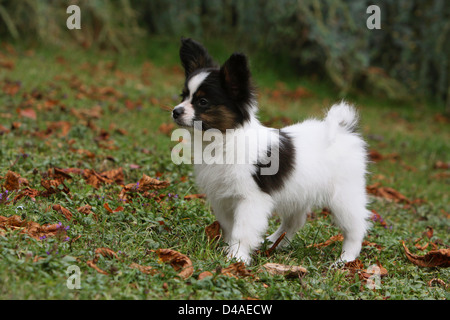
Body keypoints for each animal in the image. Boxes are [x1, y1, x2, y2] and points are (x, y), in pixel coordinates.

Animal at [171, 37, 370, 264]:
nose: (176, 111)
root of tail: (345, 130)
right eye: (183, 96)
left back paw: (346, 260)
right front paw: (228, 250)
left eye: (203, 102)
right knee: (295, 221)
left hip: (343, 196)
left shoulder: (251, 198)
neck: (223, 141)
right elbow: (230, 227)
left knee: (356, 227)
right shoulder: (223, 197)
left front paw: (237, 258)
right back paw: (274, 242)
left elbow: (242, 230)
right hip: (298, 192)